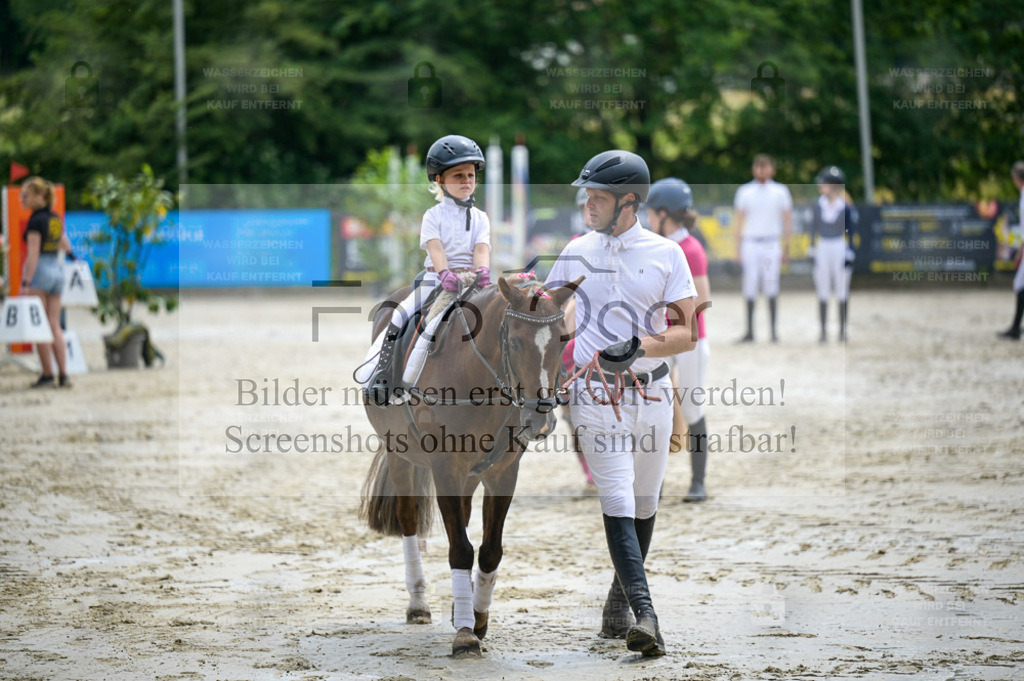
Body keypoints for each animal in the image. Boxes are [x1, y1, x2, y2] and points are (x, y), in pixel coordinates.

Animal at [360, 274, 585, 655]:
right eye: (515, 341)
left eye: (562, 340)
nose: (539, 420)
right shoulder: (445, 469)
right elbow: (460, 549)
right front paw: (465, 635)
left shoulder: (502, 472)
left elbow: (490, 549)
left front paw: (476, 618)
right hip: (399, 453)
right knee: (409, 521)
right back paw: (418, 602)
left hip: (470, 474)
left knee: (462, 519)